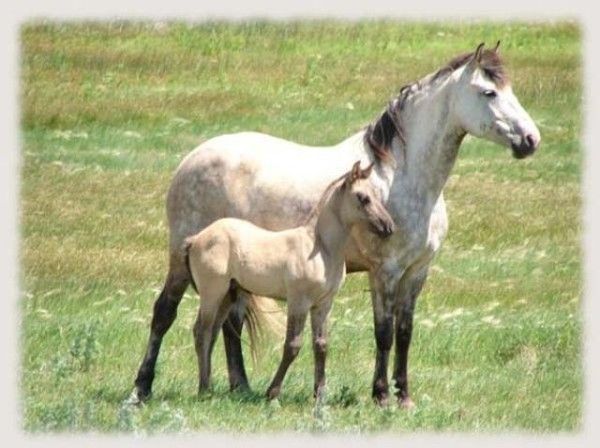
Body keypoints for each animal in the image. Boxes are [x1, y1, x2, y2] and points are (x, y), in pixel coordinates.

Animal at [183, 161, 396, 400]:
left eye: (377, 196)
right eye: (363, 197)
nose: (388, 227)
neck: (320, 247)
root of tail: (196, 239)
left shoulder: (324, 304)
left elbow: (321, 345)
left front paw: (320, 395)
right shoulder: (299, 302)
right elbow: (292, 345)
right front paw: (272, 393)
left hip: (228, 294)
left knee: (211, 333)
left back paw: (208, 386)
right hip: (212, 293)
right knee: (202, 332)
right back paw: (203, 390)